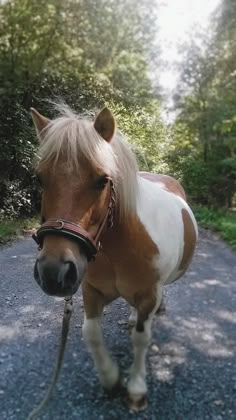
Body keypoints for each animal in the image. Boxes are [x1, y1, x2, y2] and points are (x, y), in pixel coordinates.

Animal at [30, 104, 197, 410]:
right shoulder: (90, 290)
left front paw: (136, 389)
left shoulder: (149, 294)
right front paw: (110, 379)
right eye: (40, 178)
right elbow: (91, 333)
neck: (117, 247)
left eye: (102, 180)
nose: (53, 272)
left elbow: (141, 338)